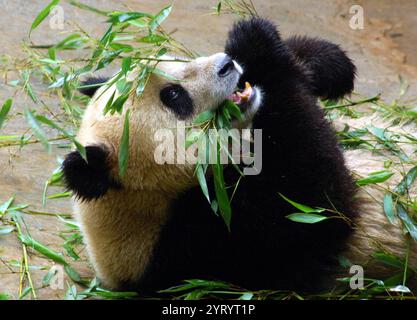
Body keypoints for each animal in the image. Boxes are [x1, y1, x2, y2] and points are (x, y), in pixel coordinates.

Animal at [61, 18, 416, 296]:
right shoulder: (216, 241)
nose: (226, 65)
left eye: (172, 57)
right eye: (173, 96)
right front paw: (257, 47)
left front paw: (320, 61)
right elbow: (320, 200)